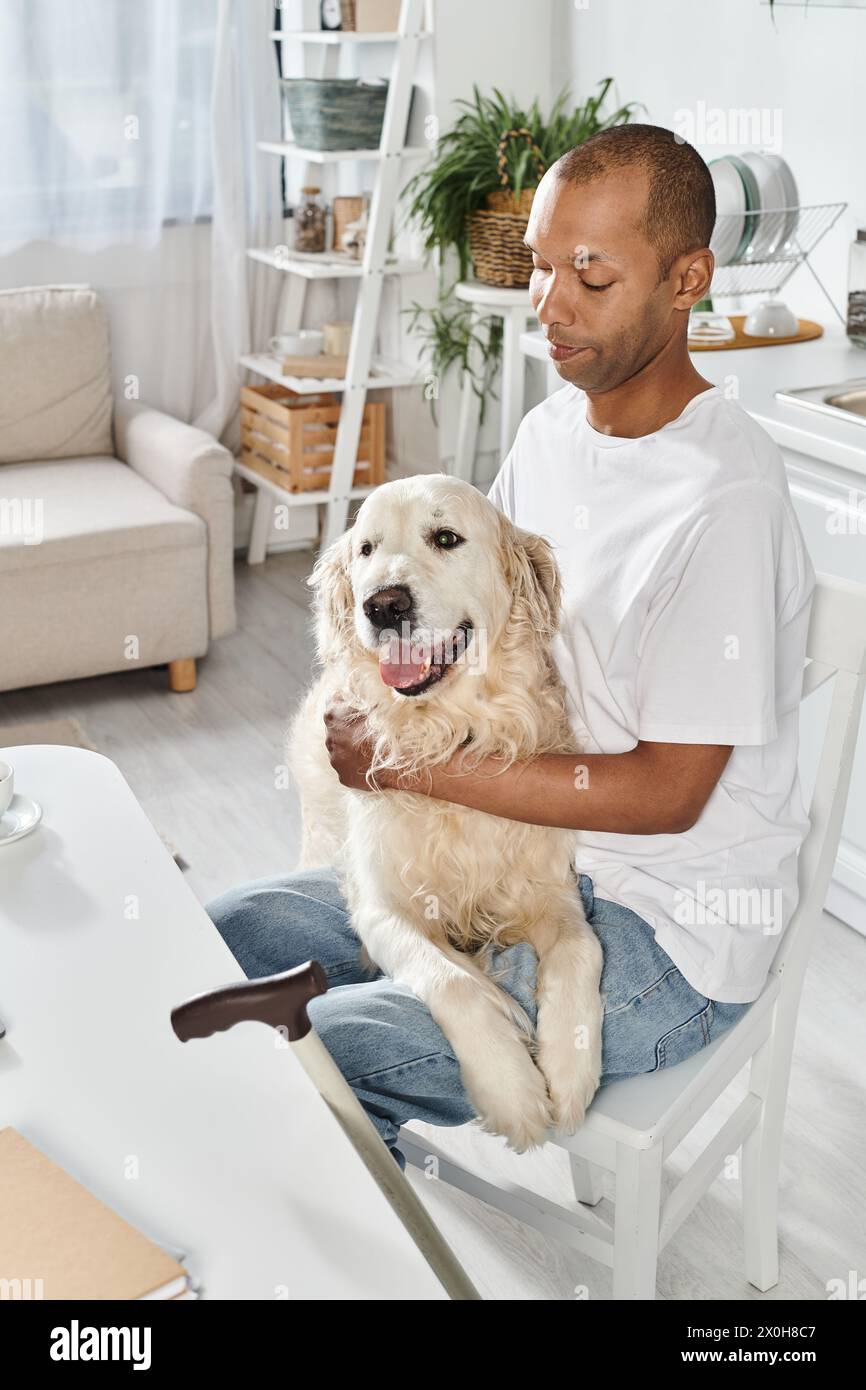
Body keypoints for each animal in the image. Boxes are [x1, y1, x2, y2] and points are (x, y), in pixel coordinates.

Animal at [287, 478, 606, 1150]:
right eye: (366, 549)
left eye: (446, 537)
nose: (383, 606)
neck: (446, 734)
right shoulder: (381, 908)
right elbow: (453, 979)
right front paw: (511, 1085)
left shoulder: (552, 889)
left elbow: (580, 949)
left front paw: (570, 1066)